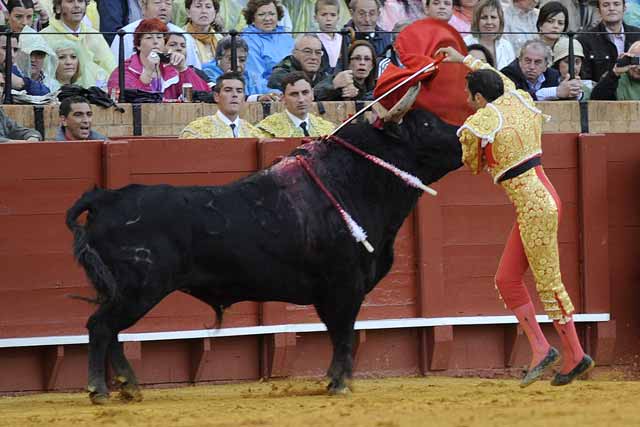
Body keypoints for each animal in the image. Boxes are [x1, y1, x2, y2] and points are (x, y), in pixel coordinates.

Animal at [65, 110, 462, 404]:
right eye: (426, 125)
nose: (463, 136)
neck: (353, 180)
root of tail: (106, 199)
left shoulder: (335, 291)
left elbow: (337, 333)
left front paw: (334, 380)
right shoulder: (344, 285)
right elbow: (343, 333)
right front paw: (340, 384)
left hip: (126, 292)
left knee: (112, 330)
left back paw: (130, 387)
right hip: (139, 288)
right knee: (101, 327)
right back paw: (100, 390)